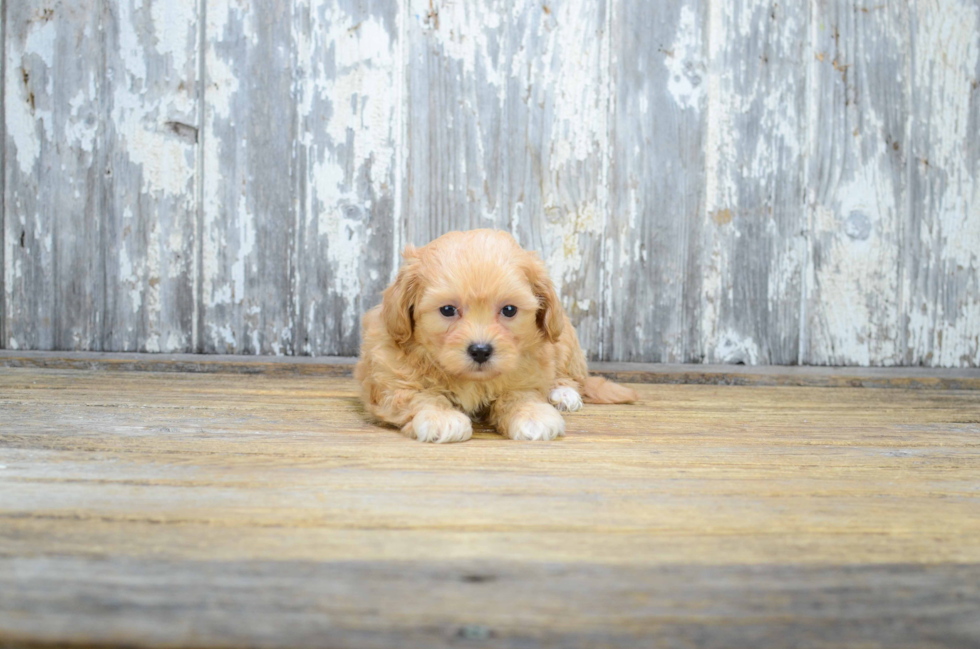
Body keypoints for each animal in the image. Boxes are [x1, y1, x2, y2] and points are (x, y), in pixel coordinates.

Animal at [356, 228, 640, 440]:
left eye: (509, 310)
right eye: (447, 310)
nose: (481, 351)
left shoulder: (527, 371)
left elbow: (519, 395)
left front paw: (532, 415)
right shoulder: (391, 379)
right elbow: (418, 396)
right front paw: (441, 417)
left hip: (564, 338)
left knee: (570, 375)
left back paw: (563, 393)